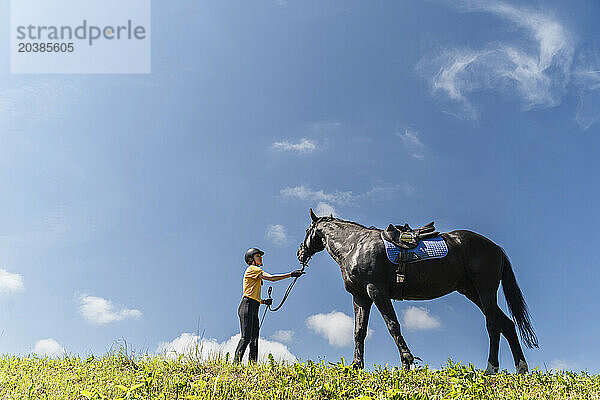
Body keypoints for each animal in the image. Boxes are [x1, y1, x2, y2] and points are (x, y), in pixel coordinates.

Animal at [298, 209, 536, 376]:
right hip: (472, 291)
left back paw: (490, 369)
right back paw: (521, 369)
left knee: (493, 325)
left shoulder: (376, 290)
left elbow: (393, 325)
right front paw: (356, 366)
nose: (300, 253)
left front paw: (407, 360)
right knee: (507, 324)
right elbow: (359, 331)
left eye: (307, 230)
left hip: (485, 290)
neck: (354, 245)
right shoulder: (361, 297)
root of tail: (496, 248)